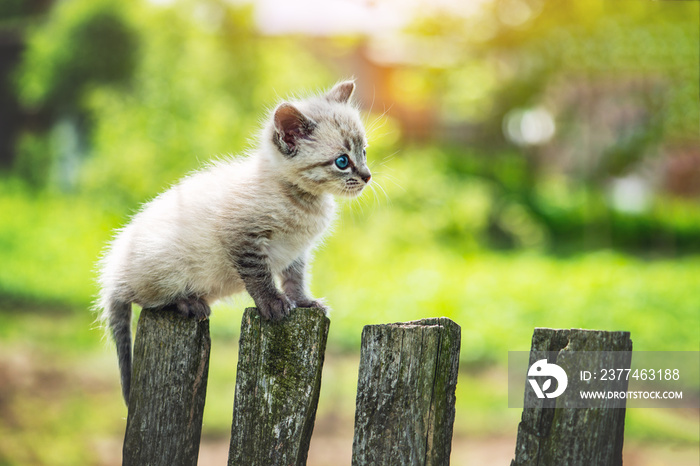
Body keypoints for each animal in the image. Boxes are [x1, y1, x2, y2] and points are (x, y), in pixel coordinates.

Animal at [100, 80, 372, 404]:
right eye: (342, 161)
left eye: (364, 152)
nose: (367, 176)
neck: (303, 201)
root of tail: (114, 274)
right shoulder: (242, 238)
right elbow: (259, 276)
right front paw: (273, 304)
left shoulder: (296, 251)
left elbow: (295, 278)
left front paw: (303, 301)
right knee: (146, 299)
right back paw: (188, 302)